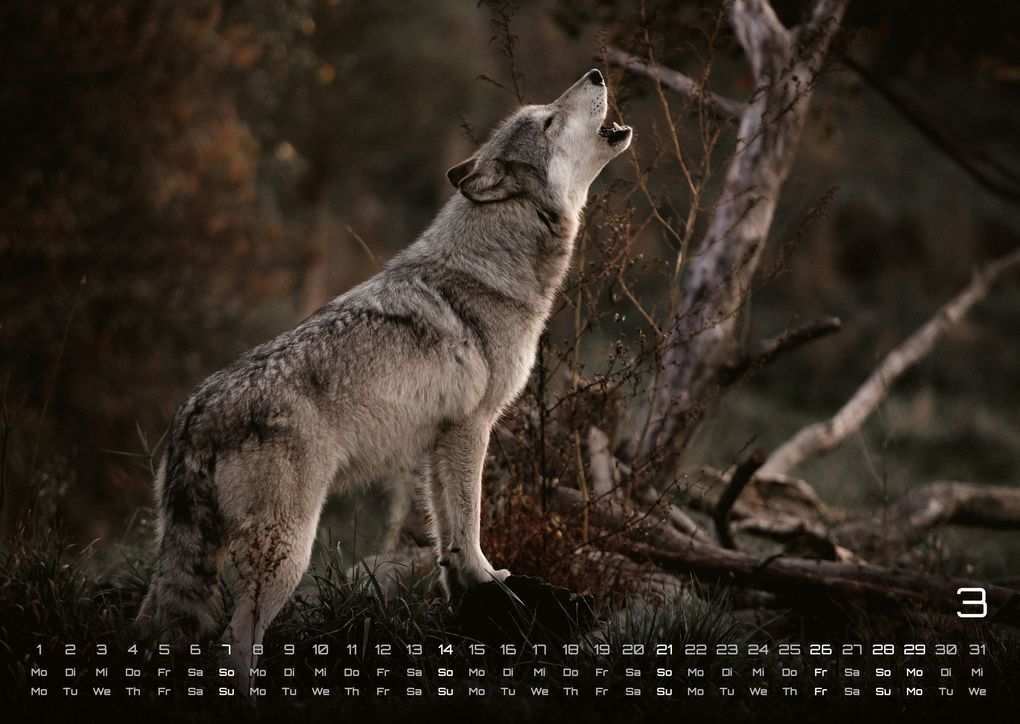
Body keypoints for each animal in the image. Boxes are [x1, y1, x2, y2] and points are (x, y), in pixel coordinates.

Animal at [137, 69, 632, 678]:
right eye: (548, 120)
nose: (596, 73)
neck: (494, 267)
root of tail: (196, 413)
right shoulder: (473, 428)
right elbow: (471, 520)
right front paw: (490, 579)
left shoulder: (439, 441)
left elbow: (447, 533)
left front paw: (470, 589)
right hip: (288, 553)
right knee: (237, 640)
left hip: (181, 557)